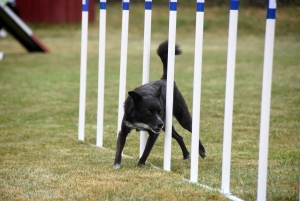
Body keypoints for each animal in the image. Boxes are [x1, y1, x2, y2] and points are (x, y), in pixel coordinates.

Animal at [113, 40, 206, 169]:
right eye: (148, 111)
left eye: (160, 111)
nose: (160, 123)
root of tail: (165, 79)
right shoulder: (124, 129)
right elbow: (119, 148)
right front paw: (116, 165)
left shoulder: (154, 133)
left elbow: (146, 151)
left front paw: (140, 164)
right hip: (167, 126)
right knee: (179, 137)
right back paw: (186, 155)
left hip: (181, 119)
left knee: (192, 130)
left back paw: (201, 151)